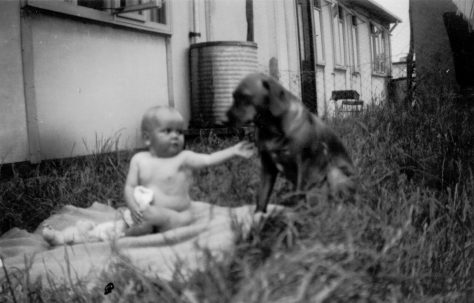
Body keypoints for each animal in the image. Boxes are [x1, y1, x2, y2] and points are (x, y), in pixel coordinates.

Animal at [226, 72, 356, 213]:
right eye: (233, 97)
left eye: (245, 97)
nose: (225, 118)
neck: (272, 129)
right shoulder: (268, 167)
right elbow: (262, 195)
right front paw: (258, 215)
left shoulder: (305, 165)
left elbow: (300, 193)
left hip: (334, 172)